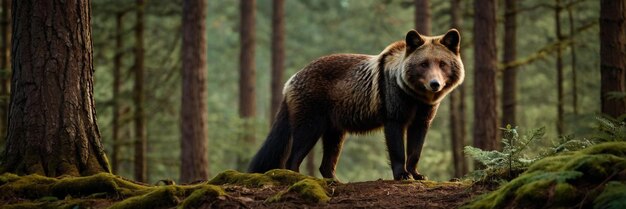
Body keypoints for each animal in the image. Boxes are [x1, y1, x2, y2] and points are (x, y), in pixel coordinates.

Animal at [246, 28, 460, 180]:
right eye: (423, 64)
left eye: (442, 63)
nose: (435, 84)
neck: (414, 95)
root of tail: (290, 81)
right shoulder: (393, 108)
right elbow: (397, 145)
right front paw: (402, 175)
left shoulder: (422, 115)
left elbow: (416, 148)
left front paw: (417, 174)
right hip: (312, 115)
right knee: (296, 148)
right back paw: (298, 176)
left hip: (335, 125)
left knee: (329, 155)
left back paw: (334, 180)